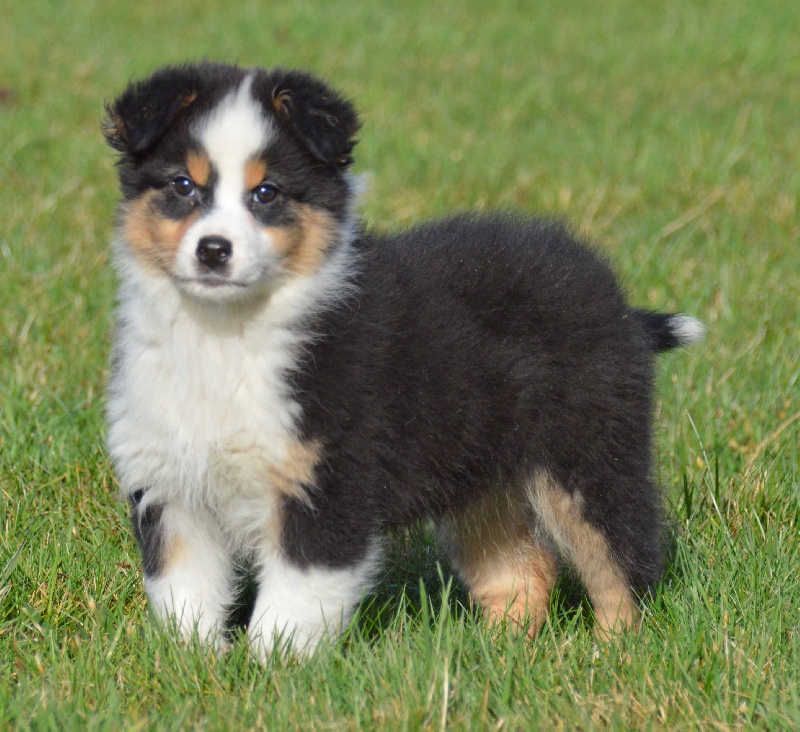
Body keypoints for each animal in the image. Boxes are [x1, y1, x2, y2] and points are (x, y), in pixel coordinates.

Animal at [103, 63, 704, 656]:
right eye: (183, 185)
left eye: (267, 193)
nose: (213, 250)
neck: (226, 333)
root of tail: (623, 309)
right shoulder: (171, 487)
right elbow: (183, 592)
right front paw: (194, 663)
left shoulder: (330, 484)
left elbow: (293, 602)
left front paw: (271, 668)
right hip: (482, 480)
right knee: (523, 570)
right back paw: (492, 655)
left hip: (589, 455)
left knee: (622, 562)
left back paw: (611, 652)